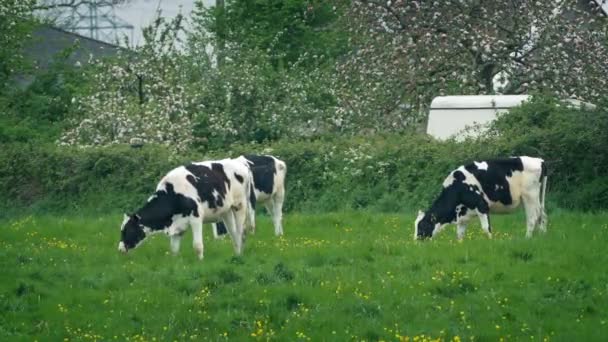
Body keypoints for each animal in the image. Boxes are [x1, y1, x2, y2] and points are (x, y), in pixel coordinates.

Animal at [119, 158, 254, 260]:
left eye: (128, 230)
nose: (120, 249)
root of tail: (240, 163)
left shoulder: (196, 218)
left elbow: (197, 245)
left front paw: (200, 262)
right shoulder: (177, 225)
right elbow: (174, 249)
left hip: (240, 205)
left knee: (240, 232)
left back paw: (240, 255)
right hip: (226, 211)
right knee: (233, 233)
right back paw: (237, 255)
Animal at [416, 156, 548, 239]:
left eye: (422, 226)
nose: (416, 242)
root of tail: (540, 160)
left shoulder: (482, 205)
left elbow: (485, 228)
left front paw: (491, 241)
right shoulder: (463, 214)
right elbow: (460, 234)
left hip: (530, 196)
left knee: (532, 218)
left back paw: (527, 238)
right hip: (537, 199)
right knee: (542, 216)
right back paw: (542, 236)